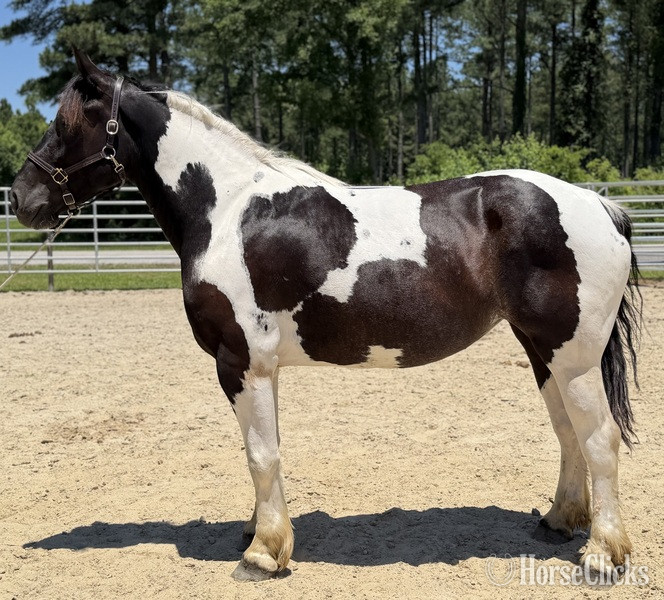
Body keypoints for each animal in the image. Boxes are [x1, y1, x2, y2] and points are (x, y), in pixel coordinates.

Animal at [10, 50, 642, 581]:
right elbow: (264, 452)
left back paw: (602, 555)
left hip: (572, 357)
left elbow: (261, 454)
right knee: (568, 433)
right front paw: (261, 530)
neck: (226, 209)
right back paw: (560, 522)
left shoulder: (239, 362)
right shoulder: (260, 369)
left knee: (600, 438)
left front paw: (264, 553)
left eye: (65, 123)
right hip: (542, 350)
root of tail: (599, 205)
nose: (21, 198)